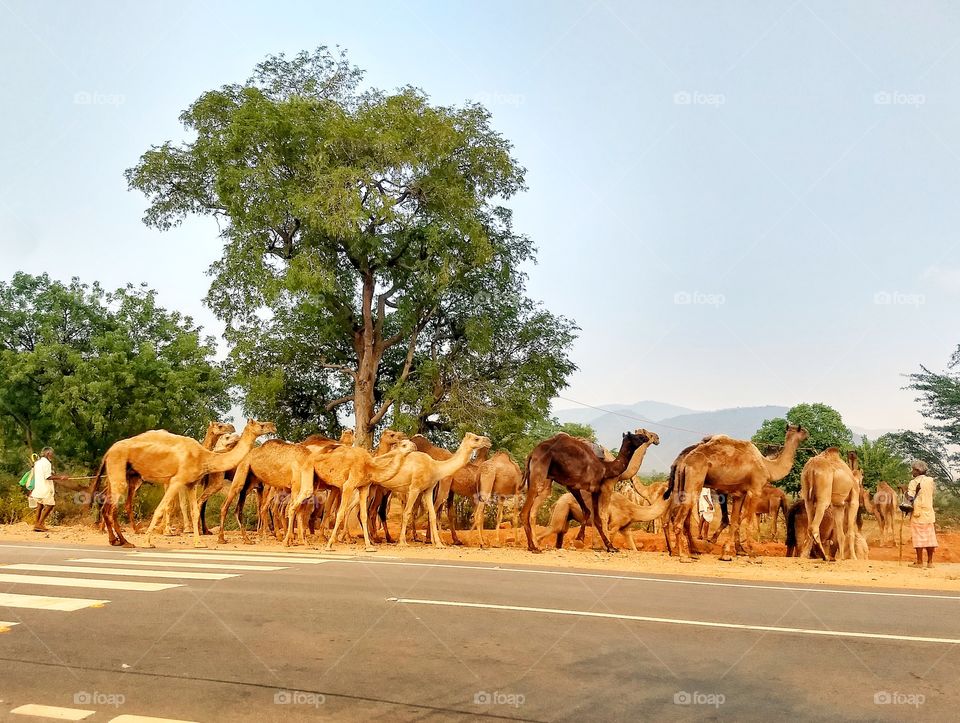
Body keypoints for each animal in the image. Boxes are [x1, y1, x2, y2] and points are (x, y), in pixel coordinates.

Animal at [98, 419, 275, 548]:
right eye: (261, 424)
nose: (273, 426)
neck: (204, 456)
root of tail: (109, 451)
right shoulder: (177, 480)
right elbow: (162, 508)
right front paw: (149, 541)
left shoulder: (191, 484)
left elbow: (194, 510)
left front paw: (199, 542)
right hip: (121, 475)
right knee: (112, 506)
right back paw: (125, 540)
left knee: (109, 502)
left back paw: (115, 539)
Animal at [520, 430, 651, 553]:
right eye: (637, 436)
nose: (646, 437)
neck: (605, 468)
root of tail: (532, 453)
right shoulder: (593, 487)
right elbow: (597, 518)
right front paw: (609, 546)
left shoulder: (574, 486)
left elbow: (587, 511)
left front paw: (582, 539)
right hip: (539, 472)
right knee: (525, 511)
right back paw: (533, 547)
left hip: (541, 478)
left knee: (534, 509)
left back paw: (534, 545)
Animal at [538, 483, 671, 551]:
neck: (632, 510)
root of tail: (556, 502)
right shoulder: (614, 525)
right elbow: (610, 537)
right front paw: (609, 549)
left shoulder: (625, 529)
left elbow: (633, 547)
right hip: (562, 508)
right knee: (554, 528)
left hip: (566, 513)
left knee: (561, 531)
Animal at [667, 424, 809, 562]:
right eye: (802, 430)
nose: (808, 434)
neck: (767, 466)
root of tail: (684, 462)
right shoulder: (755, 491)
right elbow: (748, 524)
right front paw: (752, 555)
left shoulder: (739, 494)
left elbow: (735, 522)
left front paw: (726, 554)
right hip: (695, 480)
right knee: (680, 518)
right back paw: (684, 556)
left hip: (681, 483)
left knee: (677, 514)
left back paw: (684, 551)